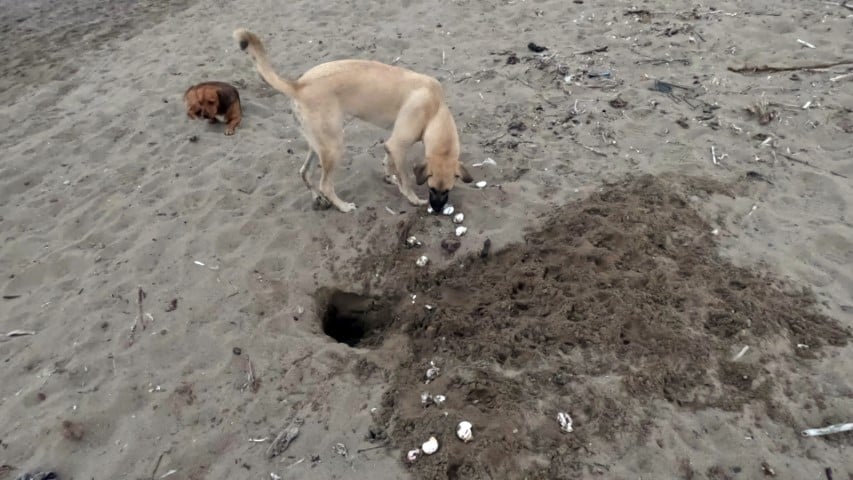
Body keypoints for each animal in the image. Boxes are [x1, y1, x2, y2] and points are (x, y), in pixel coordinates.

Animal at [233, 27, 472, 212]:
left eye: (448, 190)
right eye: (432, 189)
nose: (438, 210)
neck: (435, 109)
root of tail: (298, 86)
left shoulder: (391, 145)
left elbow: (388, 162)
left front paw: (389, 176)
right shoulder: (399, 144)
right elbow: (406, 178)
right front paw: (412, 198)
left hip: (318, 144)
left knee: (305, 173)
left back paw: (318, 199)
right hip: (334, 146)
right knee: (325, 184)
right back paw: (342, 206)